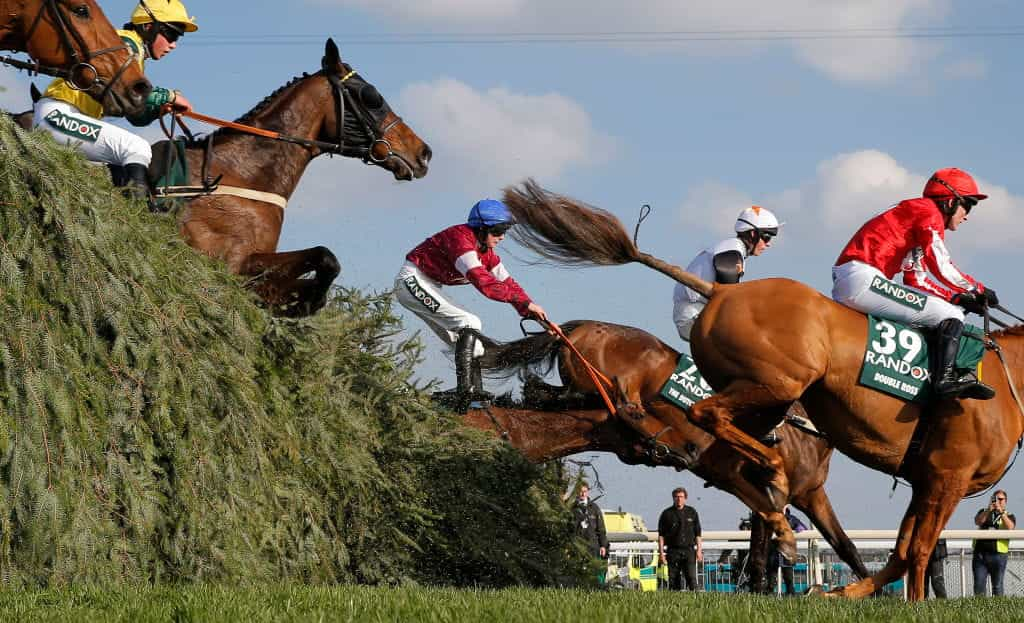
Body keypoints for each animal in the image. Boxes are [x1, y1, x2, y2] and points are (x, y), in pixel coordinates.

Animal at [156, 37, 432, 315]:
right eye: (372, 97)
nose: (424, 153)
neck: (241, 174)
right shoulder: (227, 259)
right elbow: (325, 257)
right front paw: (305, 302)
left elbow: (317, 267)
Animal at [475, 321, 868, 594]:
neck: (802, 430)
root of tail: (580, 326)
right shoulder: (736, 476)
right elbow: (767, 529)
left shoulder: (808, 494)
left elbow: (842, 544)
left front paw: (866, 588)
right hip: (610, 381)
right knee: (613, 402)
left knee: (546, 393)